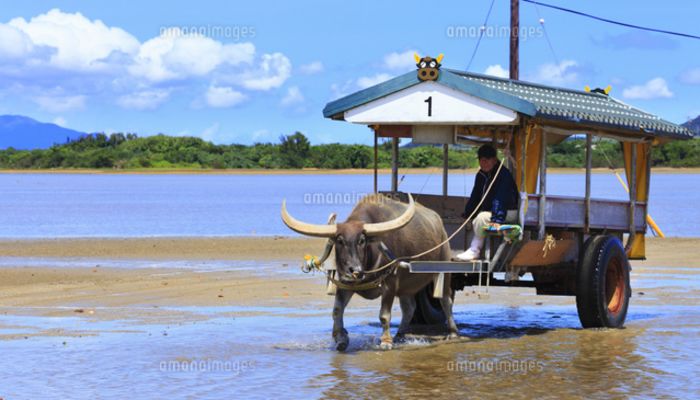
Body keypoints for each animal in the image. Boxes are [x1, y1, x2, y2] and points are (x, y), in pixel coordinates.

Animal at [282, 194, 456, 350]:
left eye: (361, 240)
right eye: (340, 241)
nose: (355, 271)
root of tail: (440, 225)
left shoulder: (389, 285)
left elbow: (384, 315)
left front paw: (386, 342)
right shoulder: (345, 284)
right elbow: (337, 310)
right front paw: (340, 338)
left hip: (444, 270)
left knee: (445, 301)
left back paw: (453, 332)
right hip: (406, 286)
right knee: (409, 308)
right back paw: (399, 335)